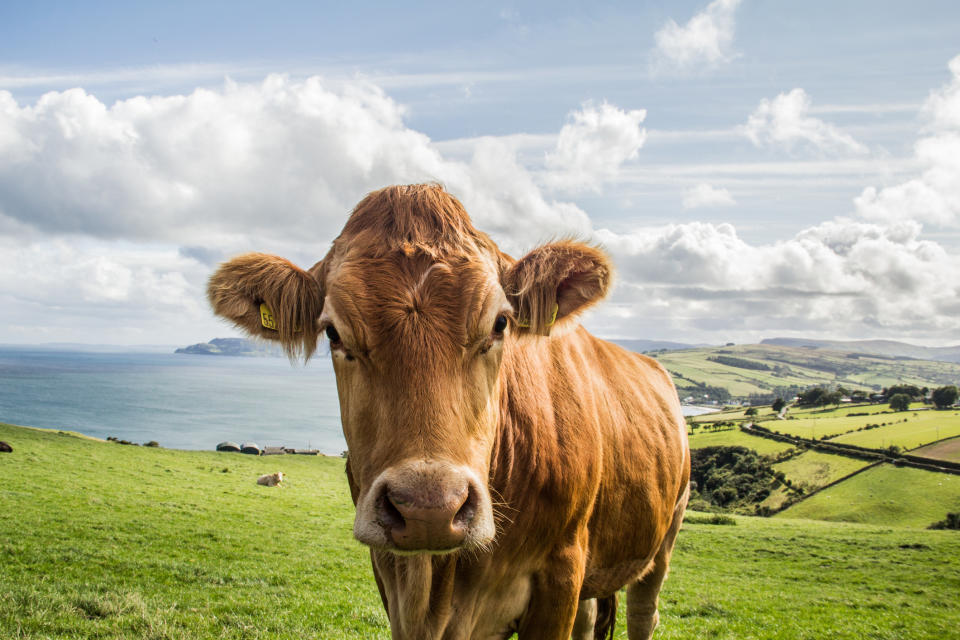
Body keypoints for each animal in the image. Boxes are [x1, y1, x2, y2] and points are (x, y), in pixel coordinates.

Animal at [210, 182, 688, 636]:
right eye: (332, 333)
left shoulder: (561, 571)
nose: (429, 509)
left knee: (644, 613)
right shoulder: (390, 574)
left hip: (665, 537)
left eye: (500, 323)